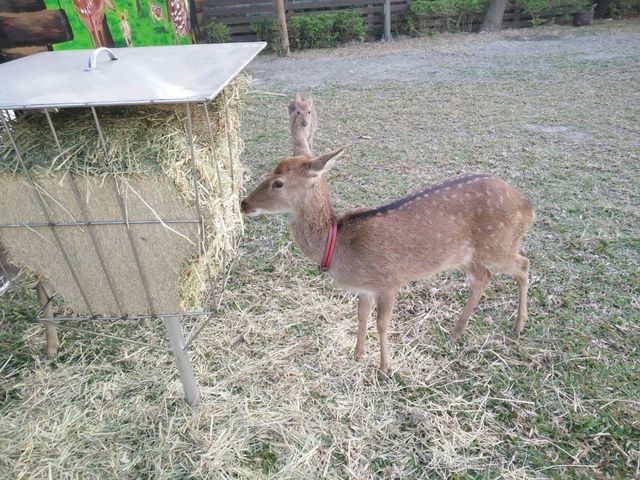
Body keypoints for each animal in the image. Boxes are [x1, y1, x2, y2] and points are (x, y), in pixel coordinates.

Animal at [240, 148, 536, 374]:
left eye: (278, 182)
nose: (243, 203)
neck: (338, 247)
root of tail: (527, 205)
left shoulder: (389, 282)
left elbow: (382, 325)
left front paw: (384, 368)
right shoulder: (365, 289)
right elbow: (361, 317)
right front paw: (357, 355)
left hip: (499, 246)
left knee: (523, 265)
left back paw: (519, 324)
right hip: (467, 255)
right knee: (484, 277)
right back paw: (456, 332)